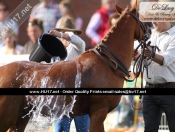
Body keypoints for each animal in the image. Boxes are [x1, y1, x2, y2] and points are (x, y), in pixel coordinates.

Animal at [0, 2, 150, 132]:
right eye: (145, 18)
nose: (149, 32)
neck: (106, 63)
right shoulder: (99, 112)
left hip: (21, 117)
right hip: (7, 116)